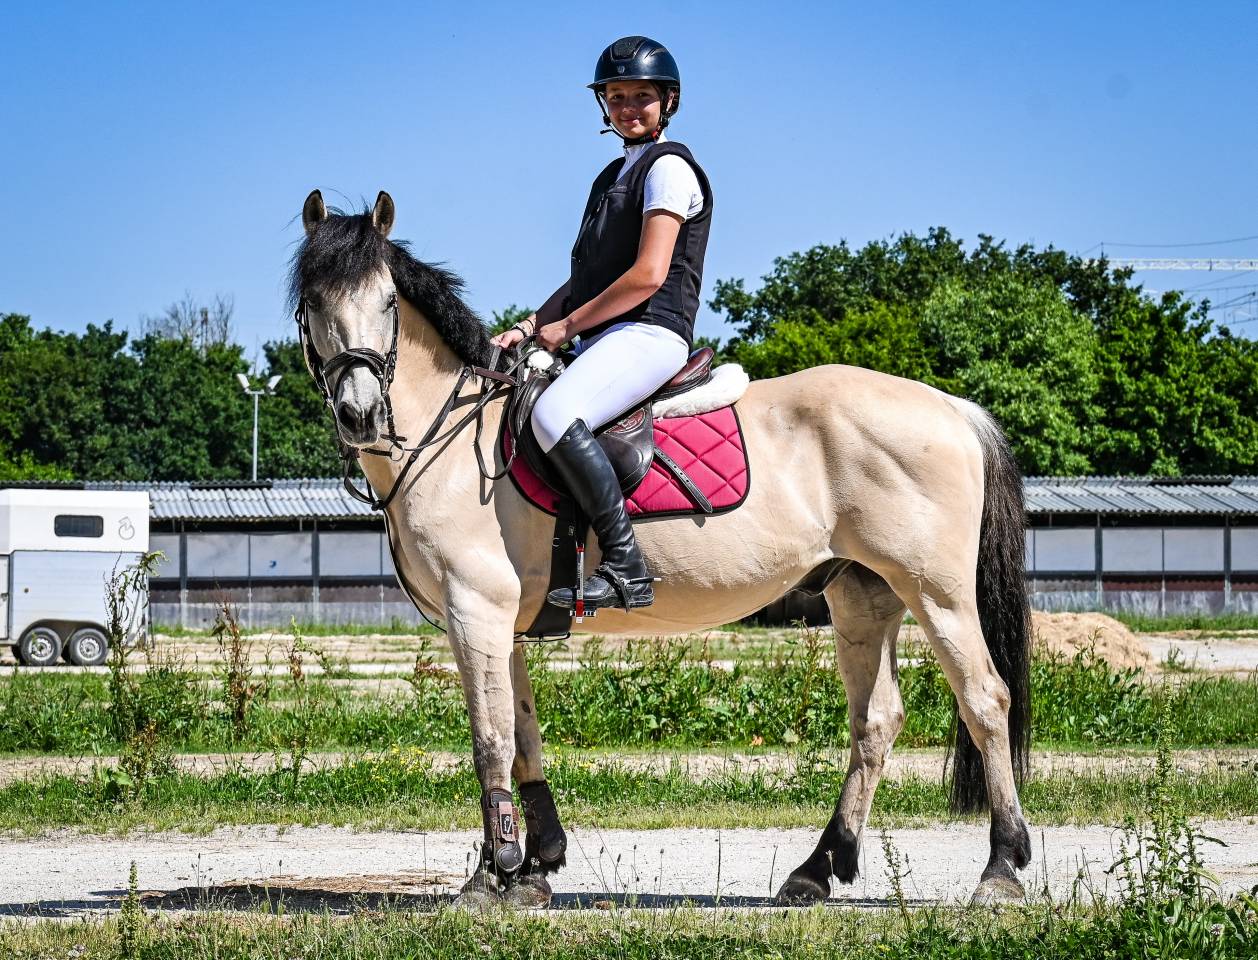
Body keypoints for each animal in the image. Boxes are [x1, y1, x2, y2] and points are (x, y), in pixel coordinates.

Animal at [290, 189, 1033, 909]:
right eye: (313, 304)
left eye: (388, 303)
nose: (360, 416)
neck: (449, 437)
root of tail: (952, 407)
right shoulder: (506, 623)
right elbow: (525, 738)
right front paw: (535, 867)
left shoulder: (476, 610)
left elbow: (490, 741)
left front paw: (489, 877)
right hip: (861, 597)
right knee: (876, 722)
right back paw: (817, 870)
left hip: (935, 593)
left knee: (986, 700)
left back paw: (1000, 869)